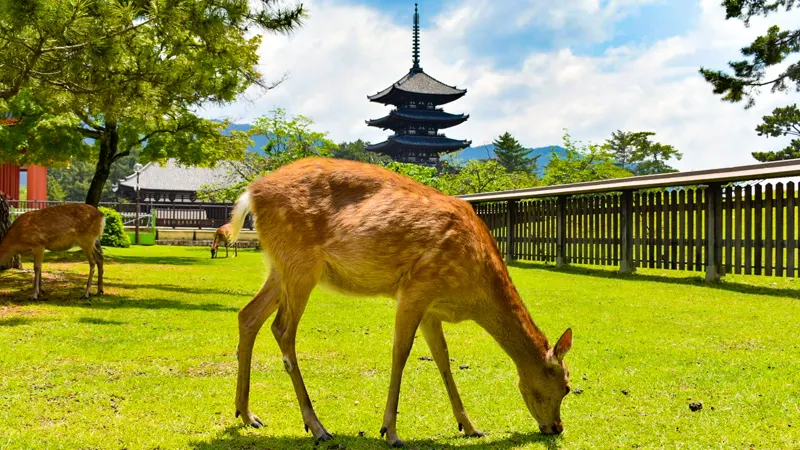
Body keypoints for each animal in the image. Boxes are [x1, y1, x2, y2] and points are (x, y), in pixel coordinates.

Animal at [226, 157, 573, 447]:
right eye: (567, 386)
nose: (557, 427)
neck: (472, 294)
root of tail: (250, 193)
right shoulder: (417, 288)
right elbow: (401, 353)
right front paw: (390, 432)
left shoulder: (432, 308)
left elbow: (443, 358)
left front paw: (470, 426)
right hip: (300, 264)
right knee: (282, 329)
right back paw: (317, 427)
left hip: (279, 267)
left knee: (248, 315)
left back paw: (248, 415)